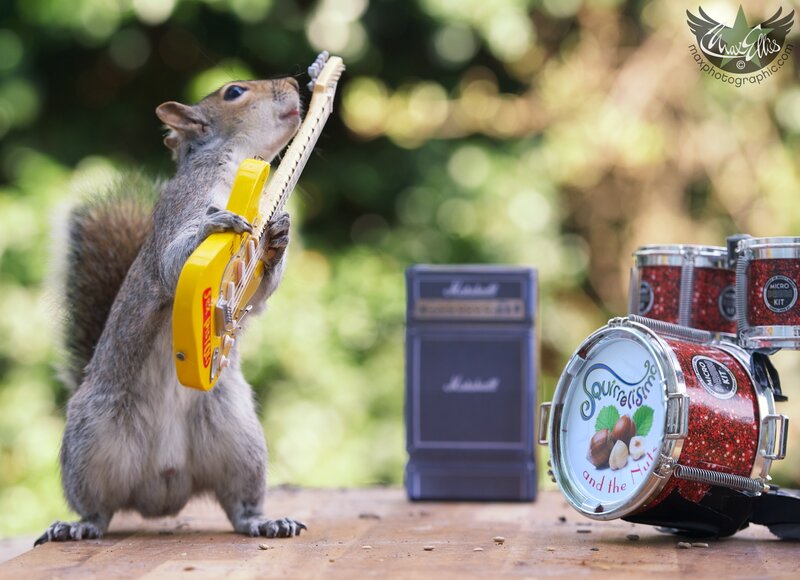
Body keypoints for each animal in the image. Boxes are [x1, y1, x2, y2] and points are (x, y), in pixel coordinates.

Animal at [36, 77, 306, 545]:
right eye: (234, 92)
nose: (293, 82)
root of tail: (161, 490)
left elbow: (257, 296)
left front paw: (279, 236)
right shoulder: (183, 205)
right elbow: (171, 261)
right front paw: (214, 224)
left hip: (239, 439)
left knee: (239, 504)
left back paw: (265, 521)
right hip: (91, 440)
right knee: (98, 508)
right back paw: (77, 525)